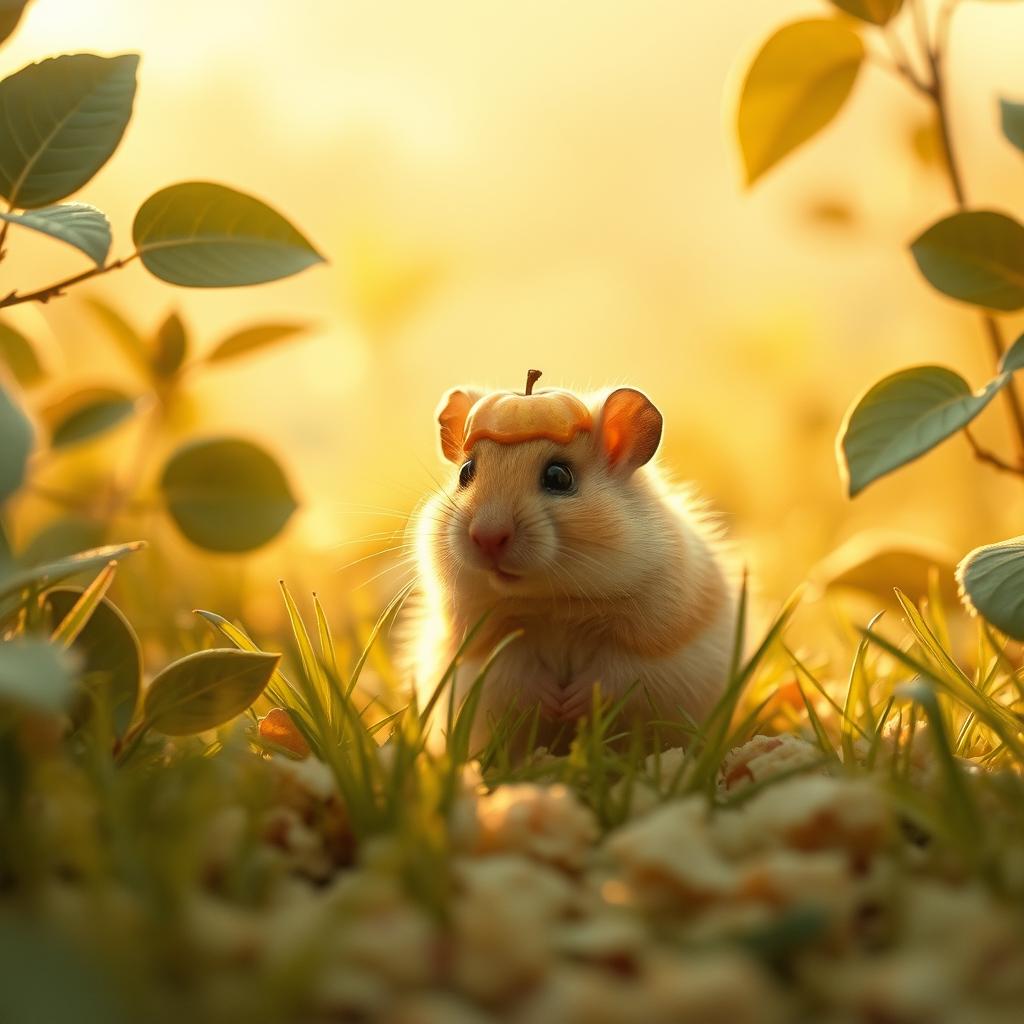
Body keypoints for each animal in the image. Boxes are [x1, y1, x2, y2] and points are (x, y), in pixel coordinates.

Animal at [404, 371, 737, 753]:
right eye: (465, 473)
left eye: (558, 477)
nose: (487, 537)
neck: (552, 603)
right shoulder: (481, 653)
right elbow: (514, 671)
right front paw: (555, 703)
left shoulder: (655, 651)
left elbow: (616, 674)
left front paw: (571, 703)